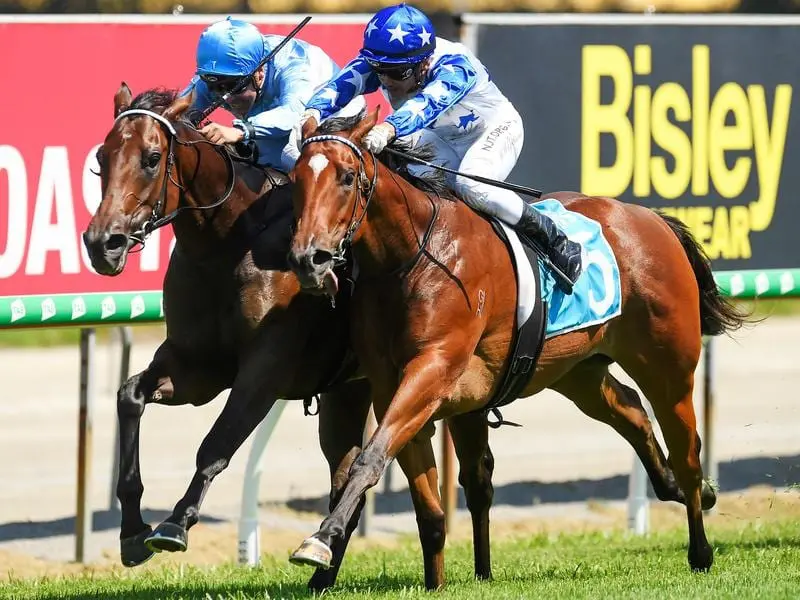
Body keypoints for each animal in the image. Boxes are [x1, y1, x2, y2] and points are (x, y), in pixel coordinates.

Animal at [83, 84, 374, 592]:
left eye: (152, 158)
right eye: (102, 156)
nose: (104, 244)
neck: (227, 240)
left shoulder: (264, 371)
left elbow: (216, 444)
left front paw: (175, 523)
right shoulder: (195, 364)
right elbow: (129, 396)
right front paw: (133, 530)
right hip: (347, 392)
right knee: (345, 470)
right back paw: (321, 570)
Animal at [288, 110, 744, 588]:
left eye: (347, 176)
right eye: (295, 179)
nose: (308, 259)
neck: (412, 255)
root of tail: (652, 219)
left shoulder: (433, 370)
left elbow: (371, 457)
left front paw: (320, 540)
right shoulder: (392, 385)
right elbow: (426, 504)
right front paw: (436, 582)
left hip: (668, 368)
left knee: (686, 450)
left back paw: (700, 545)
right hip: (577, 371)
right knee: (632, 410)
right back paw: (675, 486)